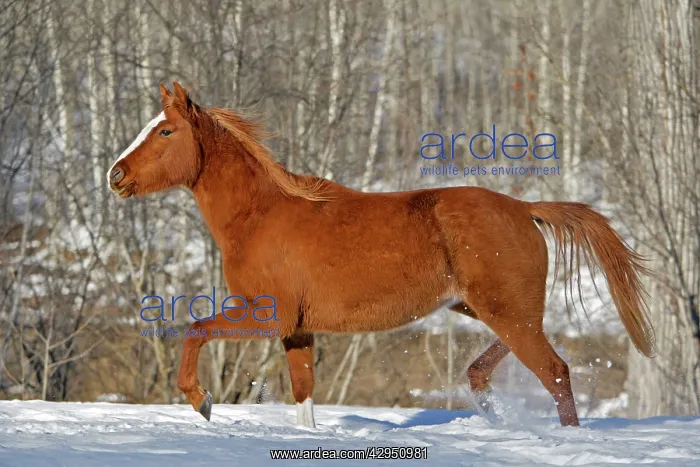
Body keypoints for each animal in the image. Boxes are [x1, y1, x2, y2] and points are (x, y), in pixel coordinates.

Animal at [107, 82, 655, 429]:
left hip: (507, 311)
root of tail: (524, 207)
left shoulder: (264, 315)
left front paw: (201, 403)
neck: (259, 216)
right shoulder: (296, 329)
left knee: (556, 372)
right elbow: (303, 394)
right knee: (501, 363)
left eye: (165, 131)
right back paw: (485, 400)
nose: (115, 175)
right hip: (488, 308)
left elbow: (194, 330)